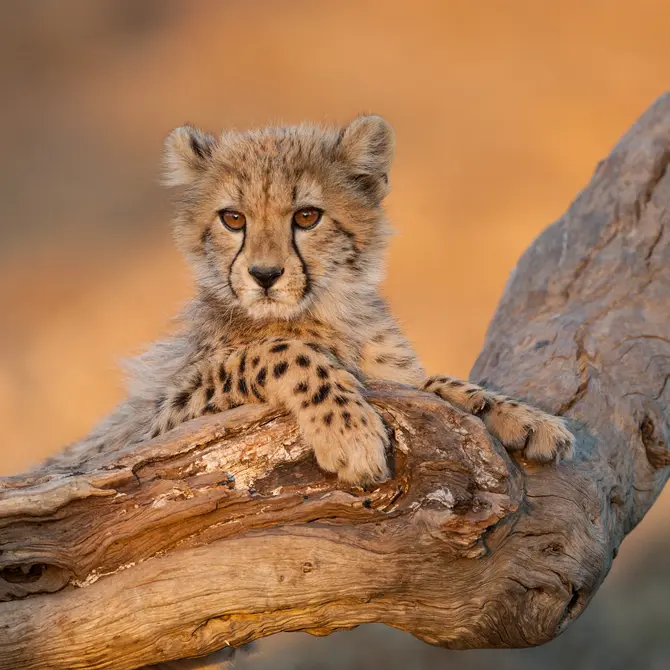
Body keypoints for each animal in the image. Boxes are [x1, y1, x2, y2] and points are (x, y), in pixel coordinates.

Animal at [72, 114, 574, 484]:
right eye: (233, 219)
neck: (325, 313)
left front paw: (520, 415)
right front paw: (349, 433)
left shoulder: (397, 380)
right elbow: (282, 352)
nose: (265, 275)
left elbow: (433, 383)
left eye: (307, 217)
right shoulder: (158, 429)